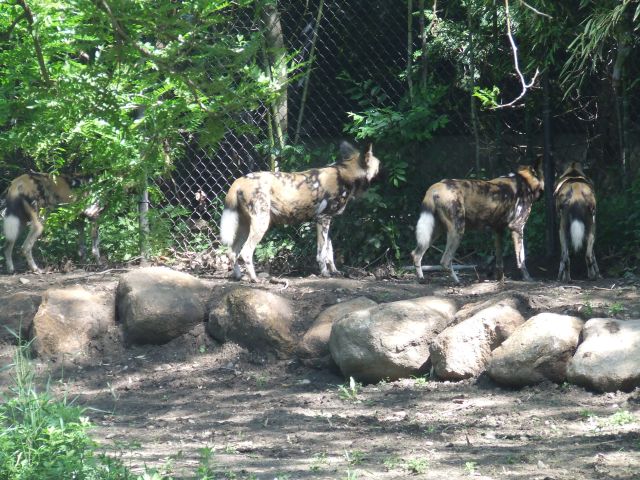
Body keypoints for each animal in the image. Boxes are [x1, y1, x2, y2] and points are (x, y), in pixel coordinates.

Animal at [219, 142, 381, 282]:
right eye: (379, 166)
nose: (384, 174)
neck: (346, 173)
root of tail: (239, 181)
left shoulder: (325, 220)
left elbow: (329, 248)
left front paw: (334, 271)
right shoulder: (323, 218)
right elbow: (322, 252)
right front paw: (325, 273)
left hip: (244, 226)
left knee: (232, 252)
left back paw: (238, 276)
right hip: (261, 223)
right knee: (246, 252)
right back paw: (255, 279)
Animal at [411, 159, 544, 283]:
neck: (524, 181)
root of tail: (436, 186)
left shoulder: (498, 230)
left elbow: (499, 261)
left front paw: (500, 279)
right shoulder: (517, 227)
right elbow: (522, 260)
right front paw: (528, 278)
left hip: (436, 231)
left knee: (416, 254)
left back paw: (421, 279)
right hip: (458, 231)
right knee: (445, 260)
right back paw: (458, 282)